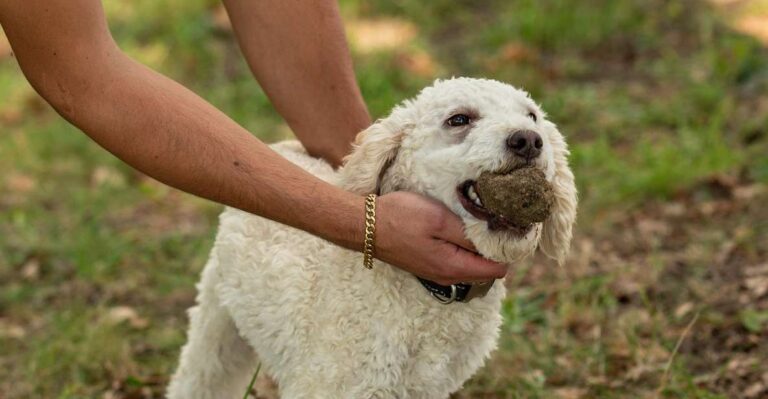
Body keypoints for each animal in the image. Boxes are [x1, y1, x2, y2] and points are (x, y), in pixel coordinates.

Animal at [168, 76, 576, 398]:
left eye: (532, 116)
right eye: (459, 119)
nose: (528, 140)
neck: (429, 299)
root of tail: (281, 146)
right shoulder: (333, 384)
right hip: (218, 320)